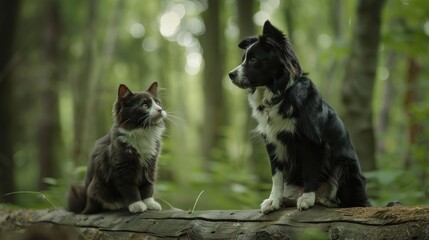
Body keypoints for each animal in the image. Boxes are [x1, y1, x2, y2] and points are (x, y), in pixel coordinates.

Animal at [67, 82, 166, 214]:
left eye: (158, 103)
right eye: (145, 105)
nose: (160, 110)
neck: (142, 132)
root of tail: (86, 205)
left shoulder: (151, 165)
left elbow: (148, 186)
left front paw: (150, 202)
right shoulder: (121, 168)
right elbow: (130, 188)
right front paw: (137, 204)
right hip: (97, 186)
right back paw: (116, 204)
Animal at [227, 20, 368, 212]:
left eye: (254, 60)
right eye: (243, 59)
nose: (230, 75)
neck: (280, 95)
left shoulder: (313, 141)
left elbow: (310, 170)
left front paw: (307, 198)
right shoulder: (273, 143)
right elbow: (276, 176)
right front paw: (273, 200)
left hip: (345, 167)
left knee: (350, 202)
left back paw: (324, 200)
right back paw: (289, 200)